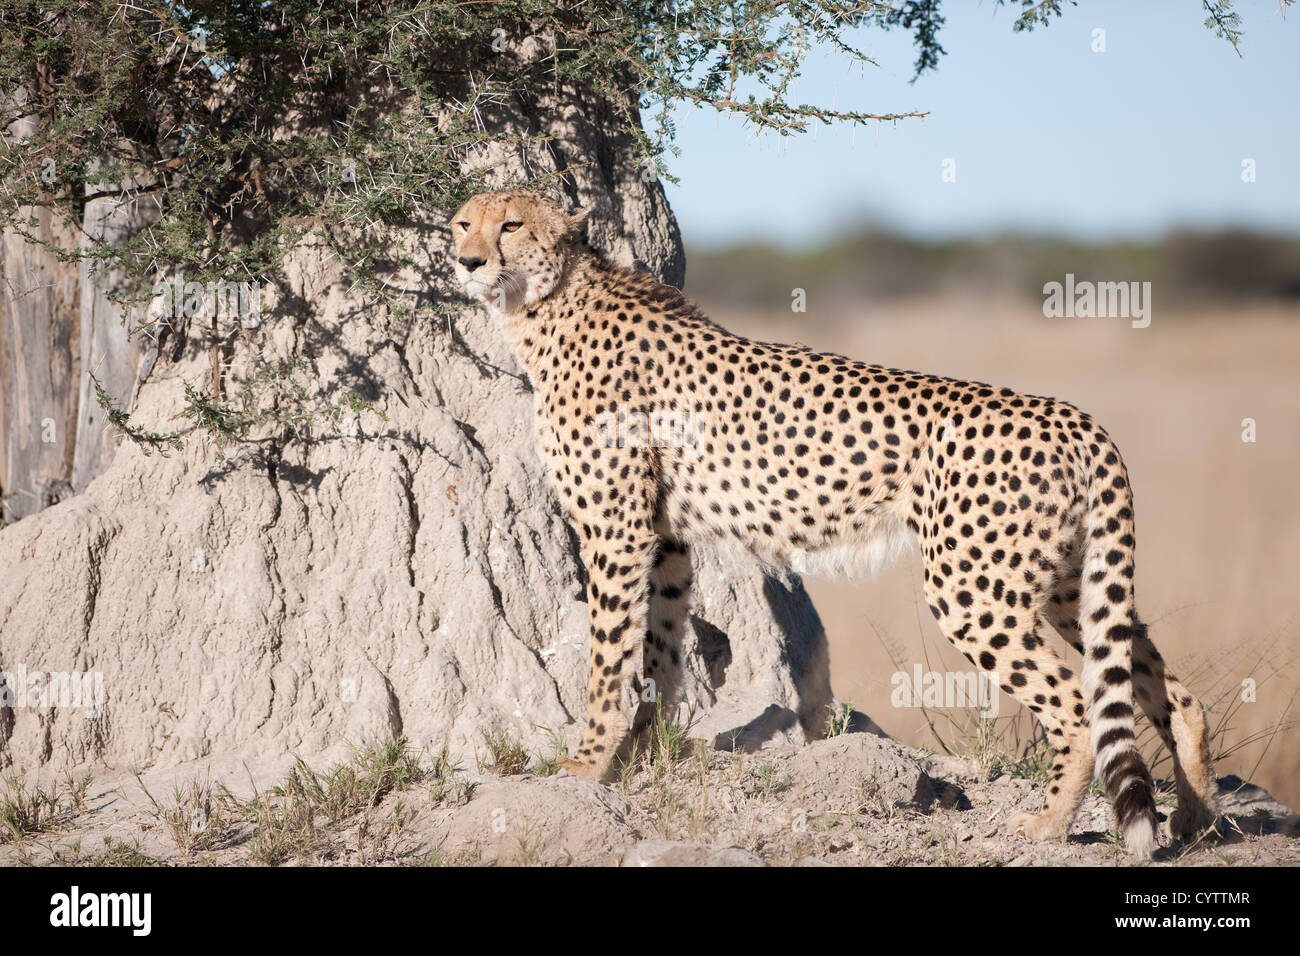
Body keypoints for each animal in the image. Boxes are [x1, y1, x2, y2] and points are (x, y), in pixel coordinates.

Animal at [447, 188, 1216, 858]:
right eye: (461, 224)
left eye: (511, 225)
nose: (468, 261)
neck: (549, 304)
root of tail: (1073, 415)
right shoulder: (664, 538)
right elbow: (661, 646)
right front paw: (650, 746)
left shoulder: (615, 532)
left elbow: (608, 659)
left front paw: (588, 763)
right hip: (1065, 582)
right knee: (1168, 690)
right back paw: (1196, 817)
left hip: (973, 590)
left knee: (1079, 707)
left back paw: (1050, 825)